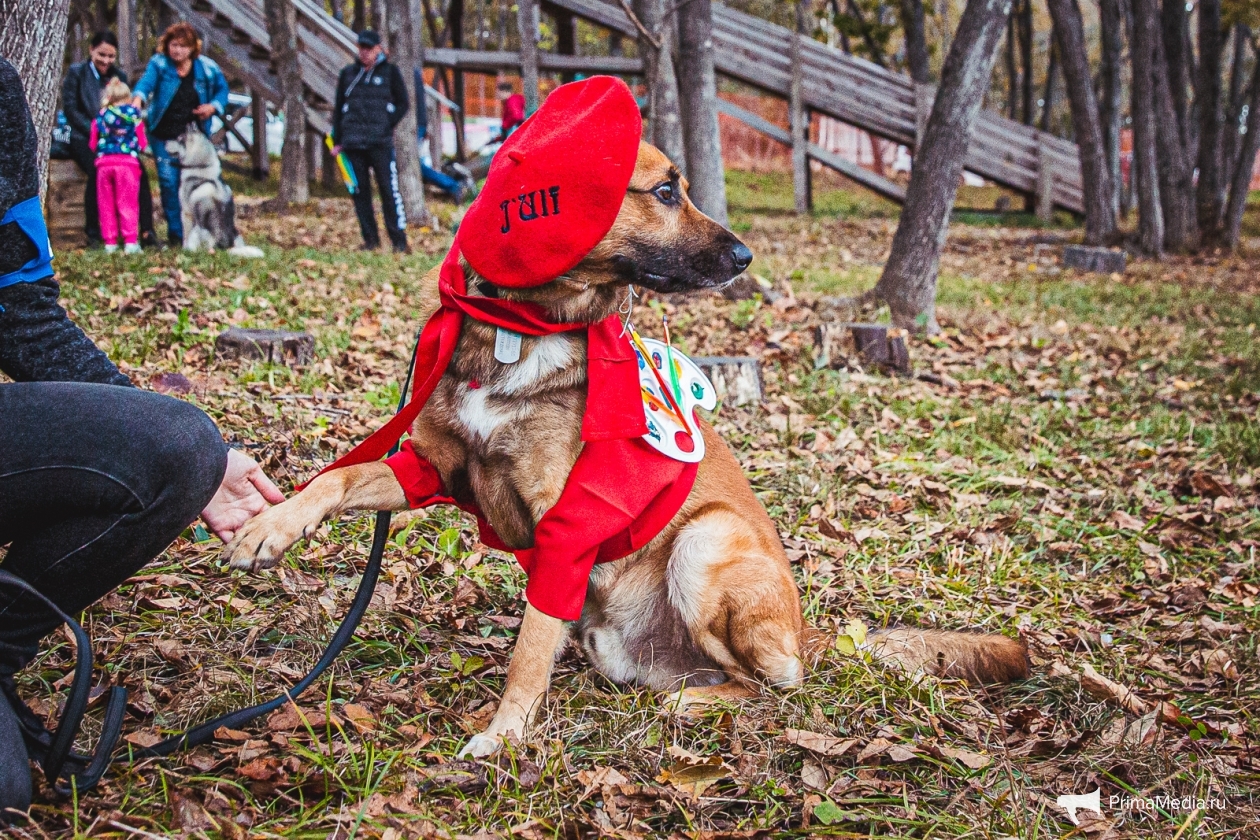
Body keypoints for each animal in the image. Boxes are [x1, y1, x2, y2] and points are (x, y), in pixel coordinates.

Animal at [163, 126, 264, 258]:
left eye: (179, 139)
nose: (164, 142)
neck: (201, 166)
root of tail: (225, 247)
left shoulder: (186, 213)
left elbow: (185, 234)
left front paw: (183, 249)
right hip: (236, 233)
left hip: (197, 230)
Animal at [219, 141, 1023, 760]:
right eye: (664, 190)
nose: (745, 255)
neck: (524, 327)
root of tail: (806, 631)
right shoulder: (436, 470)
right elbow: (340, 478)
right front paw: (268, 529)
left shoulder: (568, 525)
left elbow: (529, 649)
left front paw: (504, 735)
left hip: (705, 543)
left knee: (774, 688)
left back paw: (694, 706)